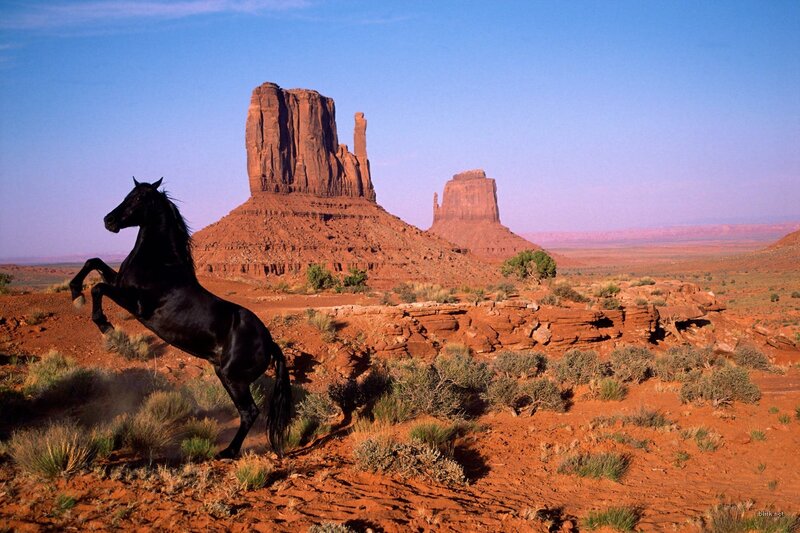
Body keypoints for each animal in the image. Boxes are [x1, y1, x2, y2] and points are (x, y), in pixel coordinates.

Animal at [69, 178, 291, 458]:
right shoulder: (120, 283)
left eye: (139, 198)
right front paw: (75, 291)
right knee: (246, 412)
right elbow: (93, 262)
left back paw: (227, 452)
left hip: (234, 378)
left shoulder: (137, 305)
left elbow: (98, 288)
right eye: (128, 194)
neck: (160, 265)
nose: (109, 220)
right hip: (225, 374)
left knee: (249, 412)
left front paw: (103, 324)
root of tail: (270, 343)